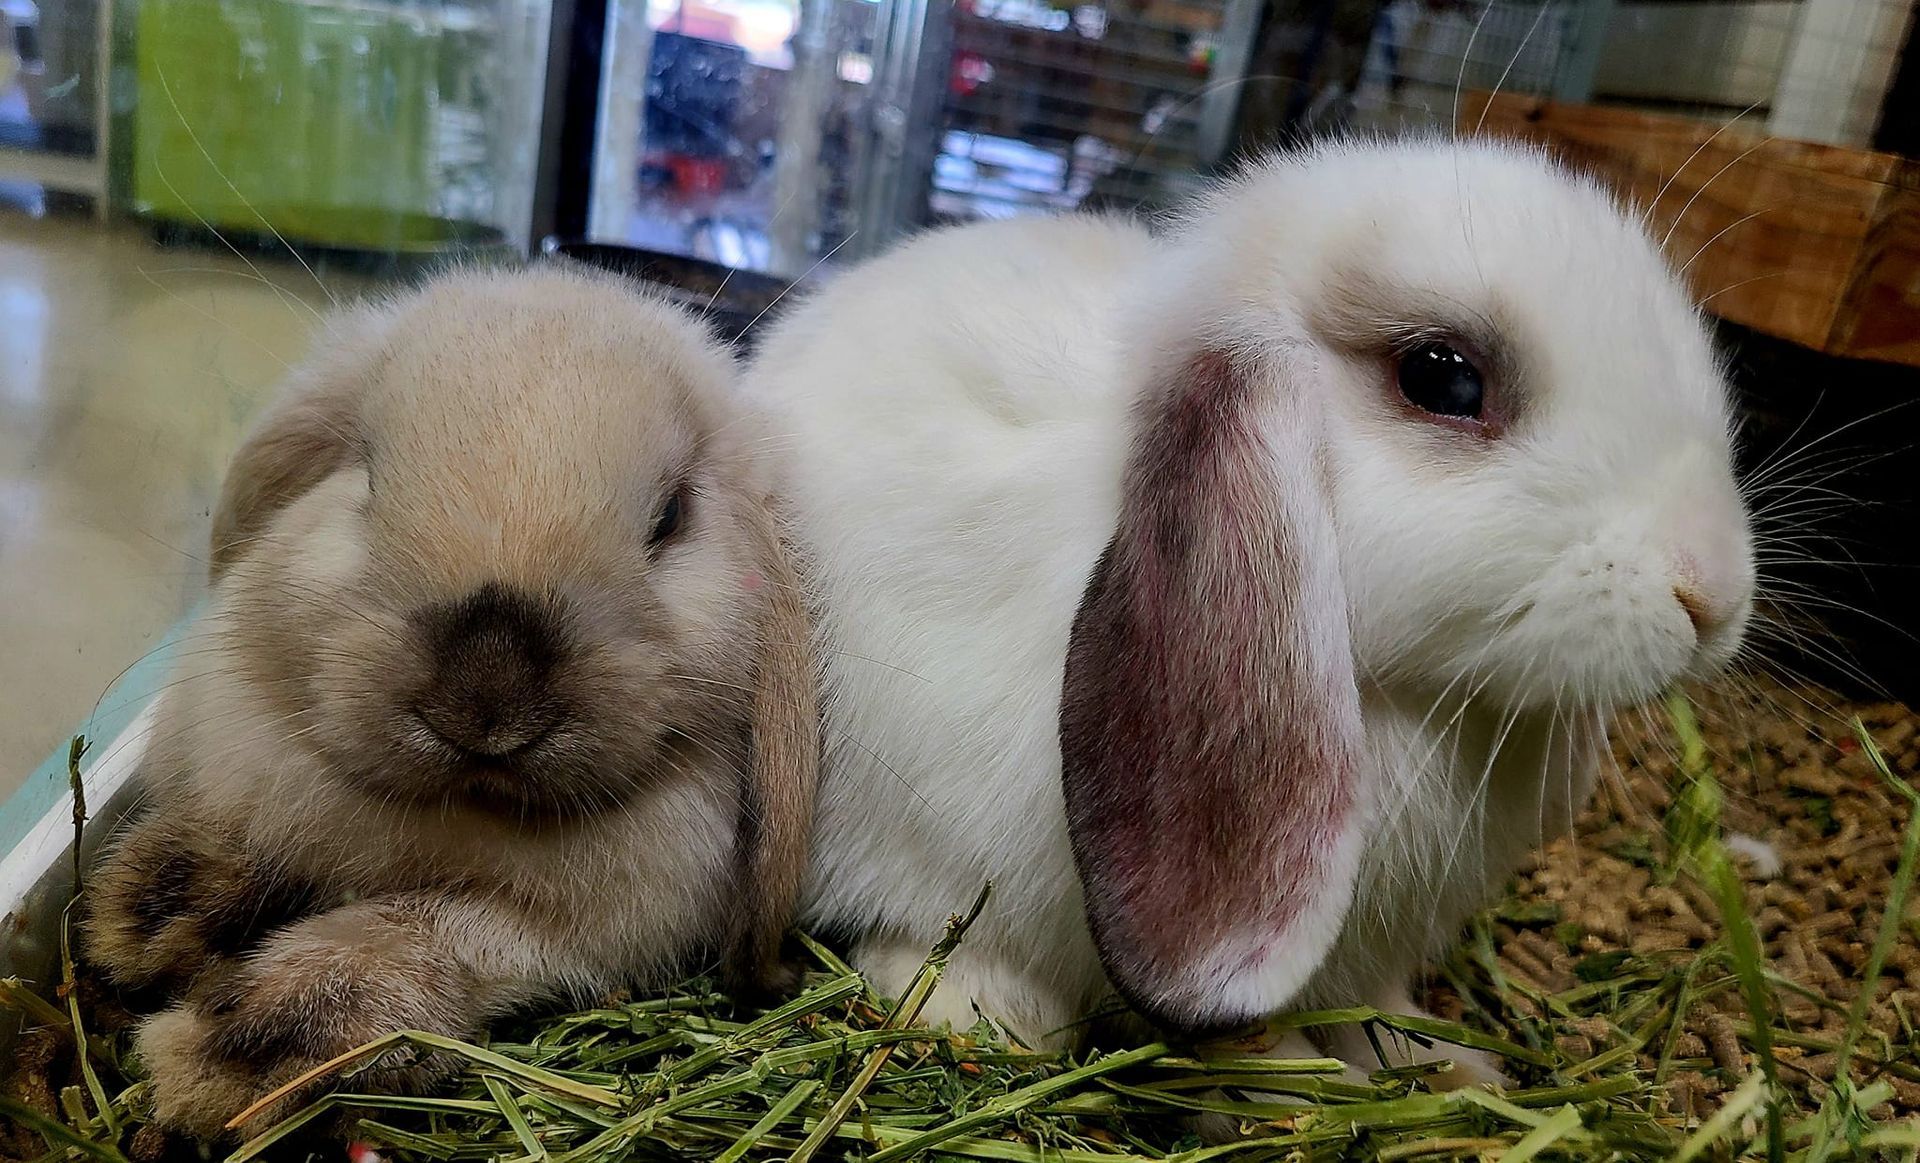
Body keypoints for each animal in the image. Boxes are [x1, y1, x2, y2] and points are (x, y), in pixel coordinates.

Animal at [81, 264, 819, 1139]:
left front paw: (226, 1056)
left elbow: (407, 938)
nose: (487, 697)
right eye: (367, 474)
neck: (461, 808)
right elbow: (255, 854)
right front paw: (142, 912)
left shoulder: (574, 927)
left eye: (670, 516)